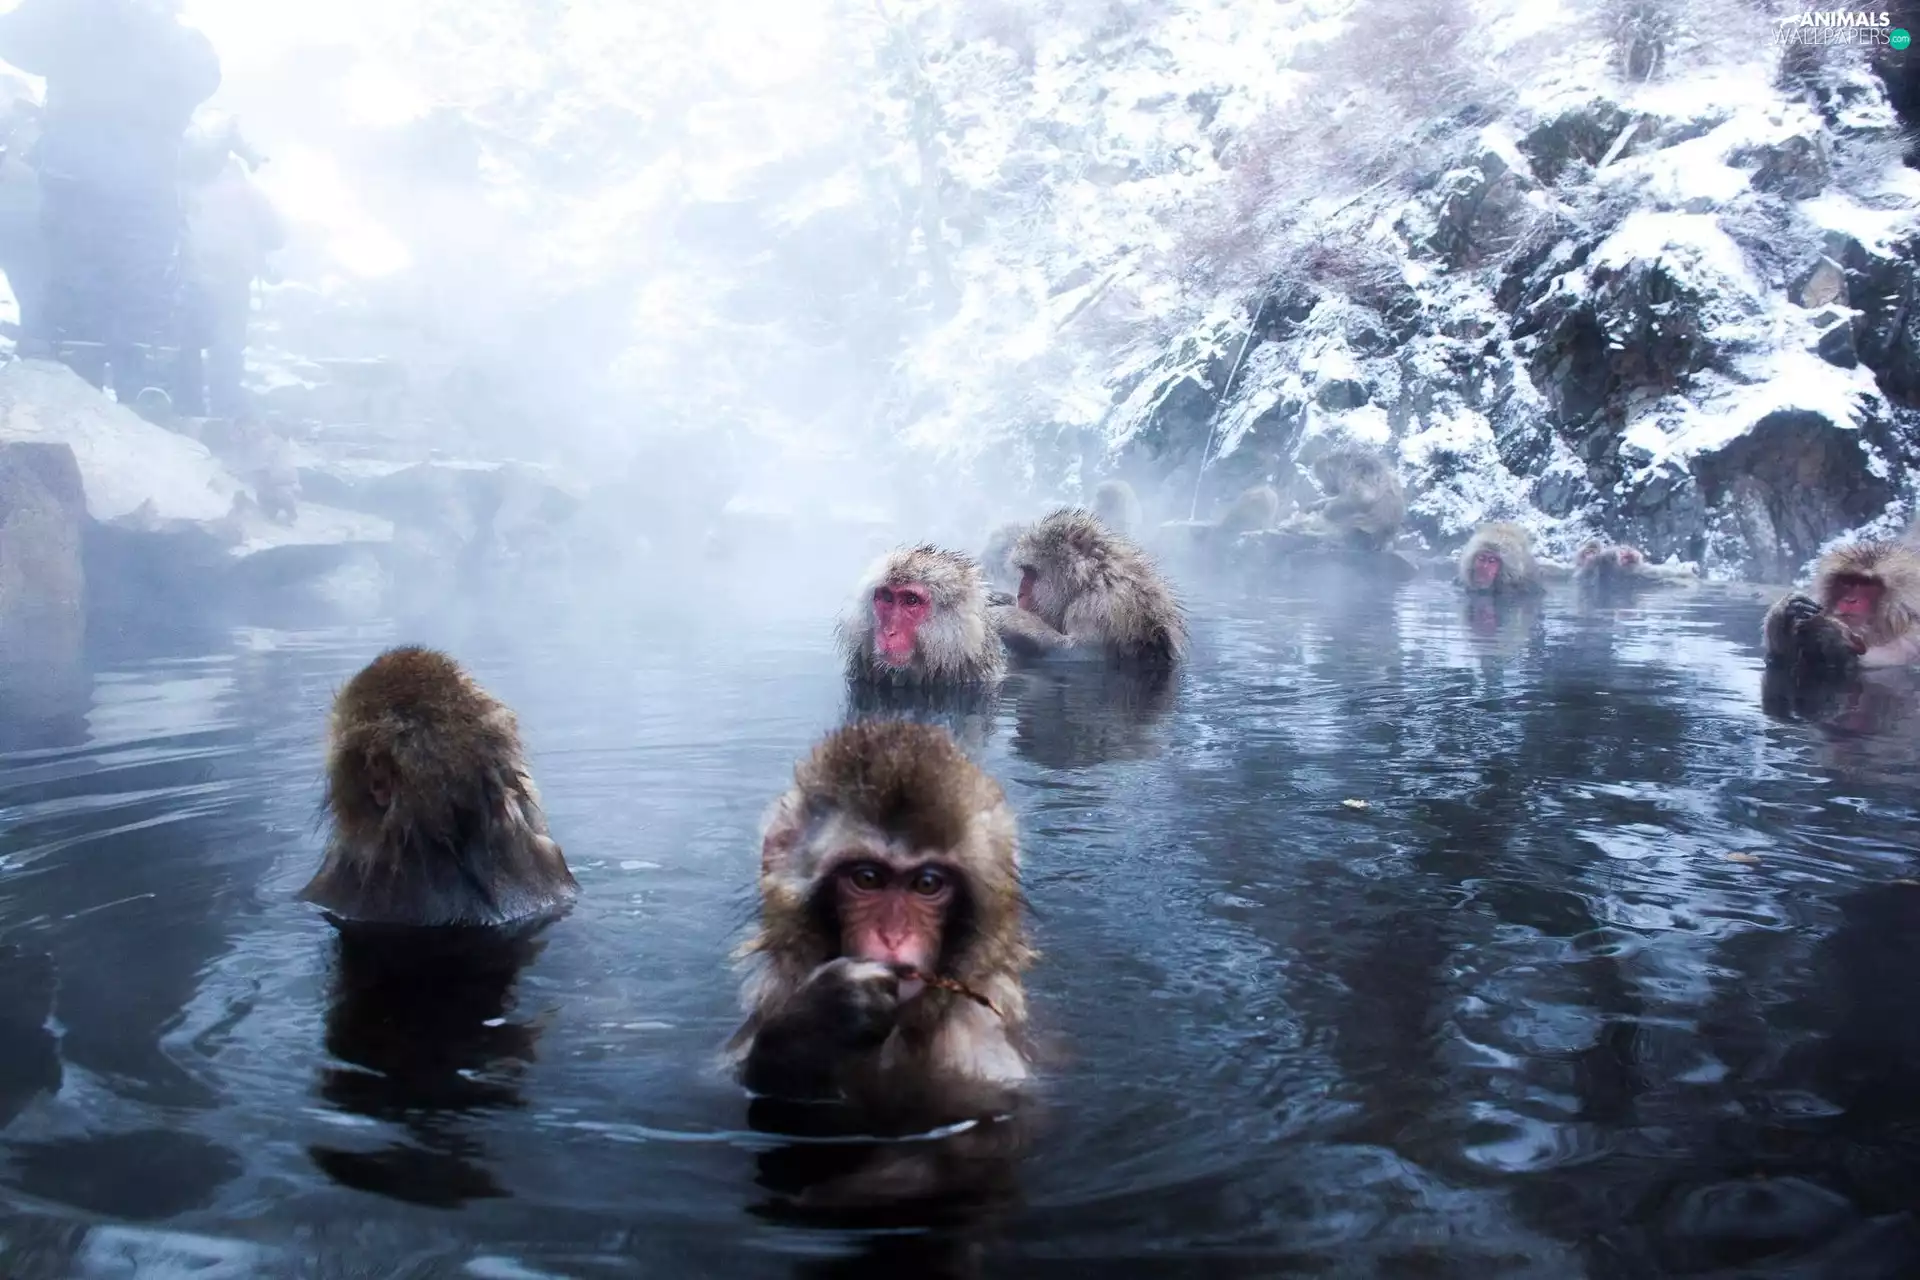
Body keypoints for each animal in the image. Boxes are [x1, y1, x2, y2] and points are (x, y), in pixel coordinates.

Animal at [991, 508, 1188, 668]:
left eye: (1031, 572)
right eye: (1025, 571)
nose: (1020, 594)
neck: (1089, 578)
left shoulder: (1102, 605)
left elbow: (1084, 654)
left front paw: (1008, 617)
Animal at [1763, 540, 1920, 677]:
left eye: (1868, 584)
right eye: (1846, 582)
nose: (1850, 600)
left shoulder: (1912, 638)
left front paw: (1834, 640)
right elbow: (1778, 661)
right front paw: (1785, 613)